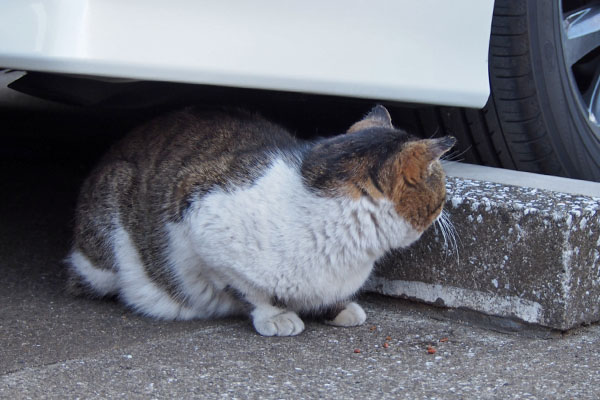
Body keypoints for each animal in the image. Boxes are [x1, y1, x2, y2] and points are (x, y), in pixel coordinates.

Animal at [65, 104, 454, 336]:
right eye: (440, 181)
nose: (446, 206)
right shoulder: (199, 219)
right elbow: (246, 290)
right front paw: (276, 315)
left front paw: (339, 309)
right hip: (110, 225)